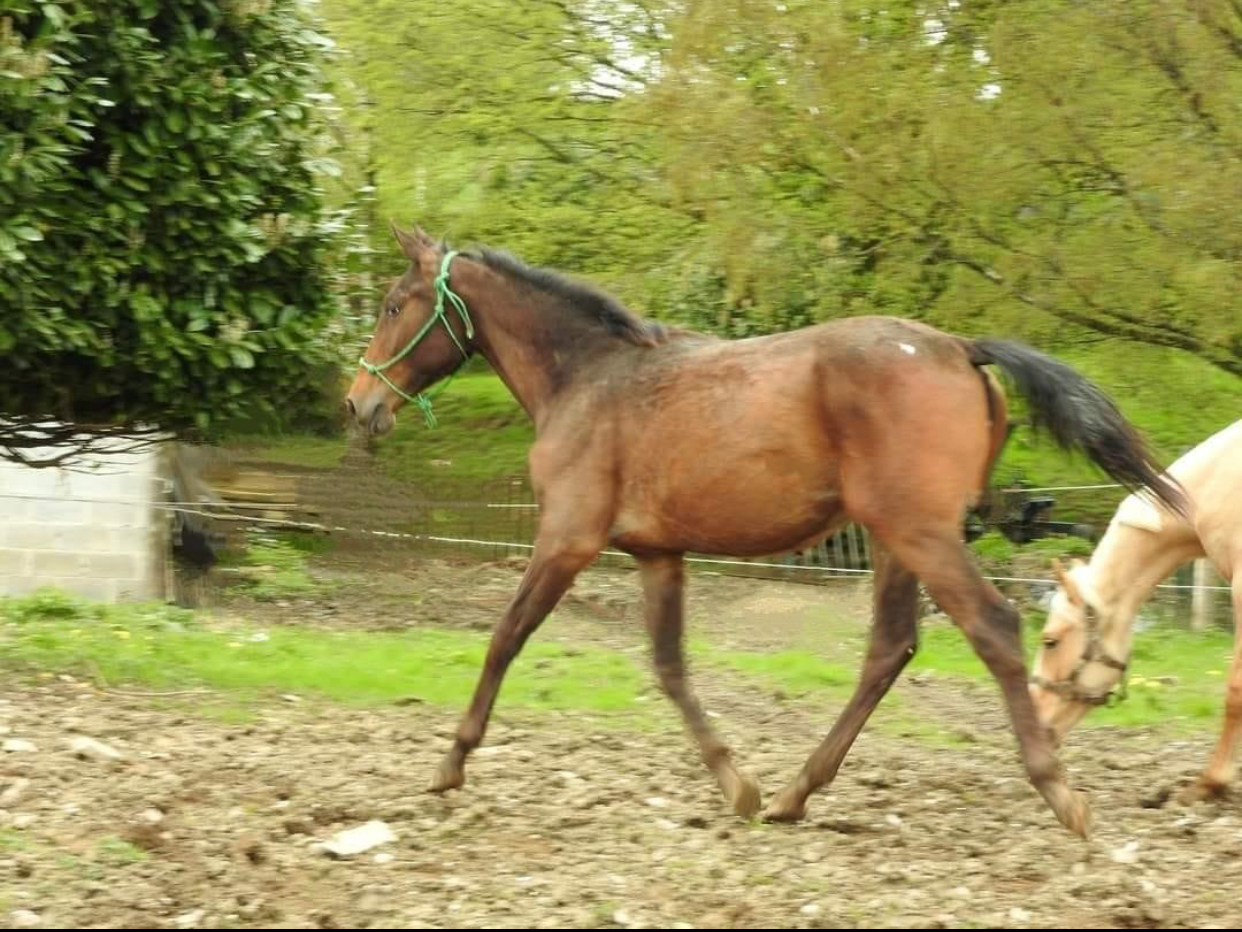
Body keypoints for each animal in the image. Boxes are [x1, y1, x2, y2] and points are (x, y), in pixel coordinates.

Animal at [345, 224, 1186, 837]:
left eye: (392, 304)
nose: (360, 405)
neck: (588, 380)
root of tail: (957, 346)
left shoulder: (566, 540)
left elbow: (505, 637)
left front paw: (450, 764)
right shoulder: (658, 555)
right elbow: (671, 668)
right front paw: (738, 785)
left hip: (921, 535)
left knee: (991, 625)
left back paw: (1059, 792)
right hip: (895, 539)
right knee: (890, 648)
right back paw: (792, 794)